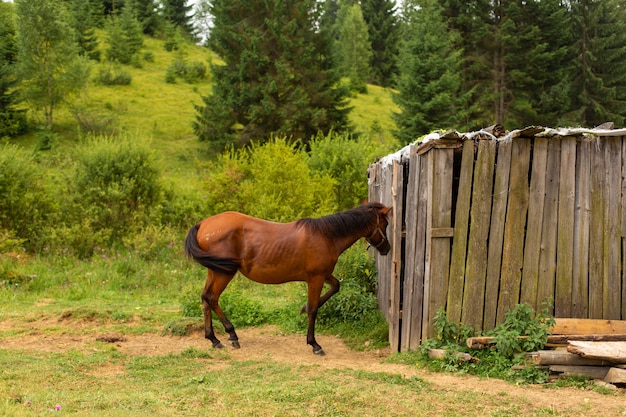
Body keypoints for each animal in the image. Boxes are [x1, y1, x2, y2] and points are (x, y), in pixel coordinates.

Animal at [184, 202, 390, 354]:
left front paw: (303, 309)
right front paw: (314, 343)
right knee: (211, 298)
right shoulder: (316, 278)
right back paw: (231, 334)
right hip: (223, 273)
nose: (387, 248)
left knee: (205, 299)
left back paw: (214, 339)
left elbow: (335, 287)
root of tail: (203, 225)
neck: (326, 236)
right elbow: (314, 309)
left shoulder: (324, 275)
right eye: (386, 224)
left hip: (215, 271)